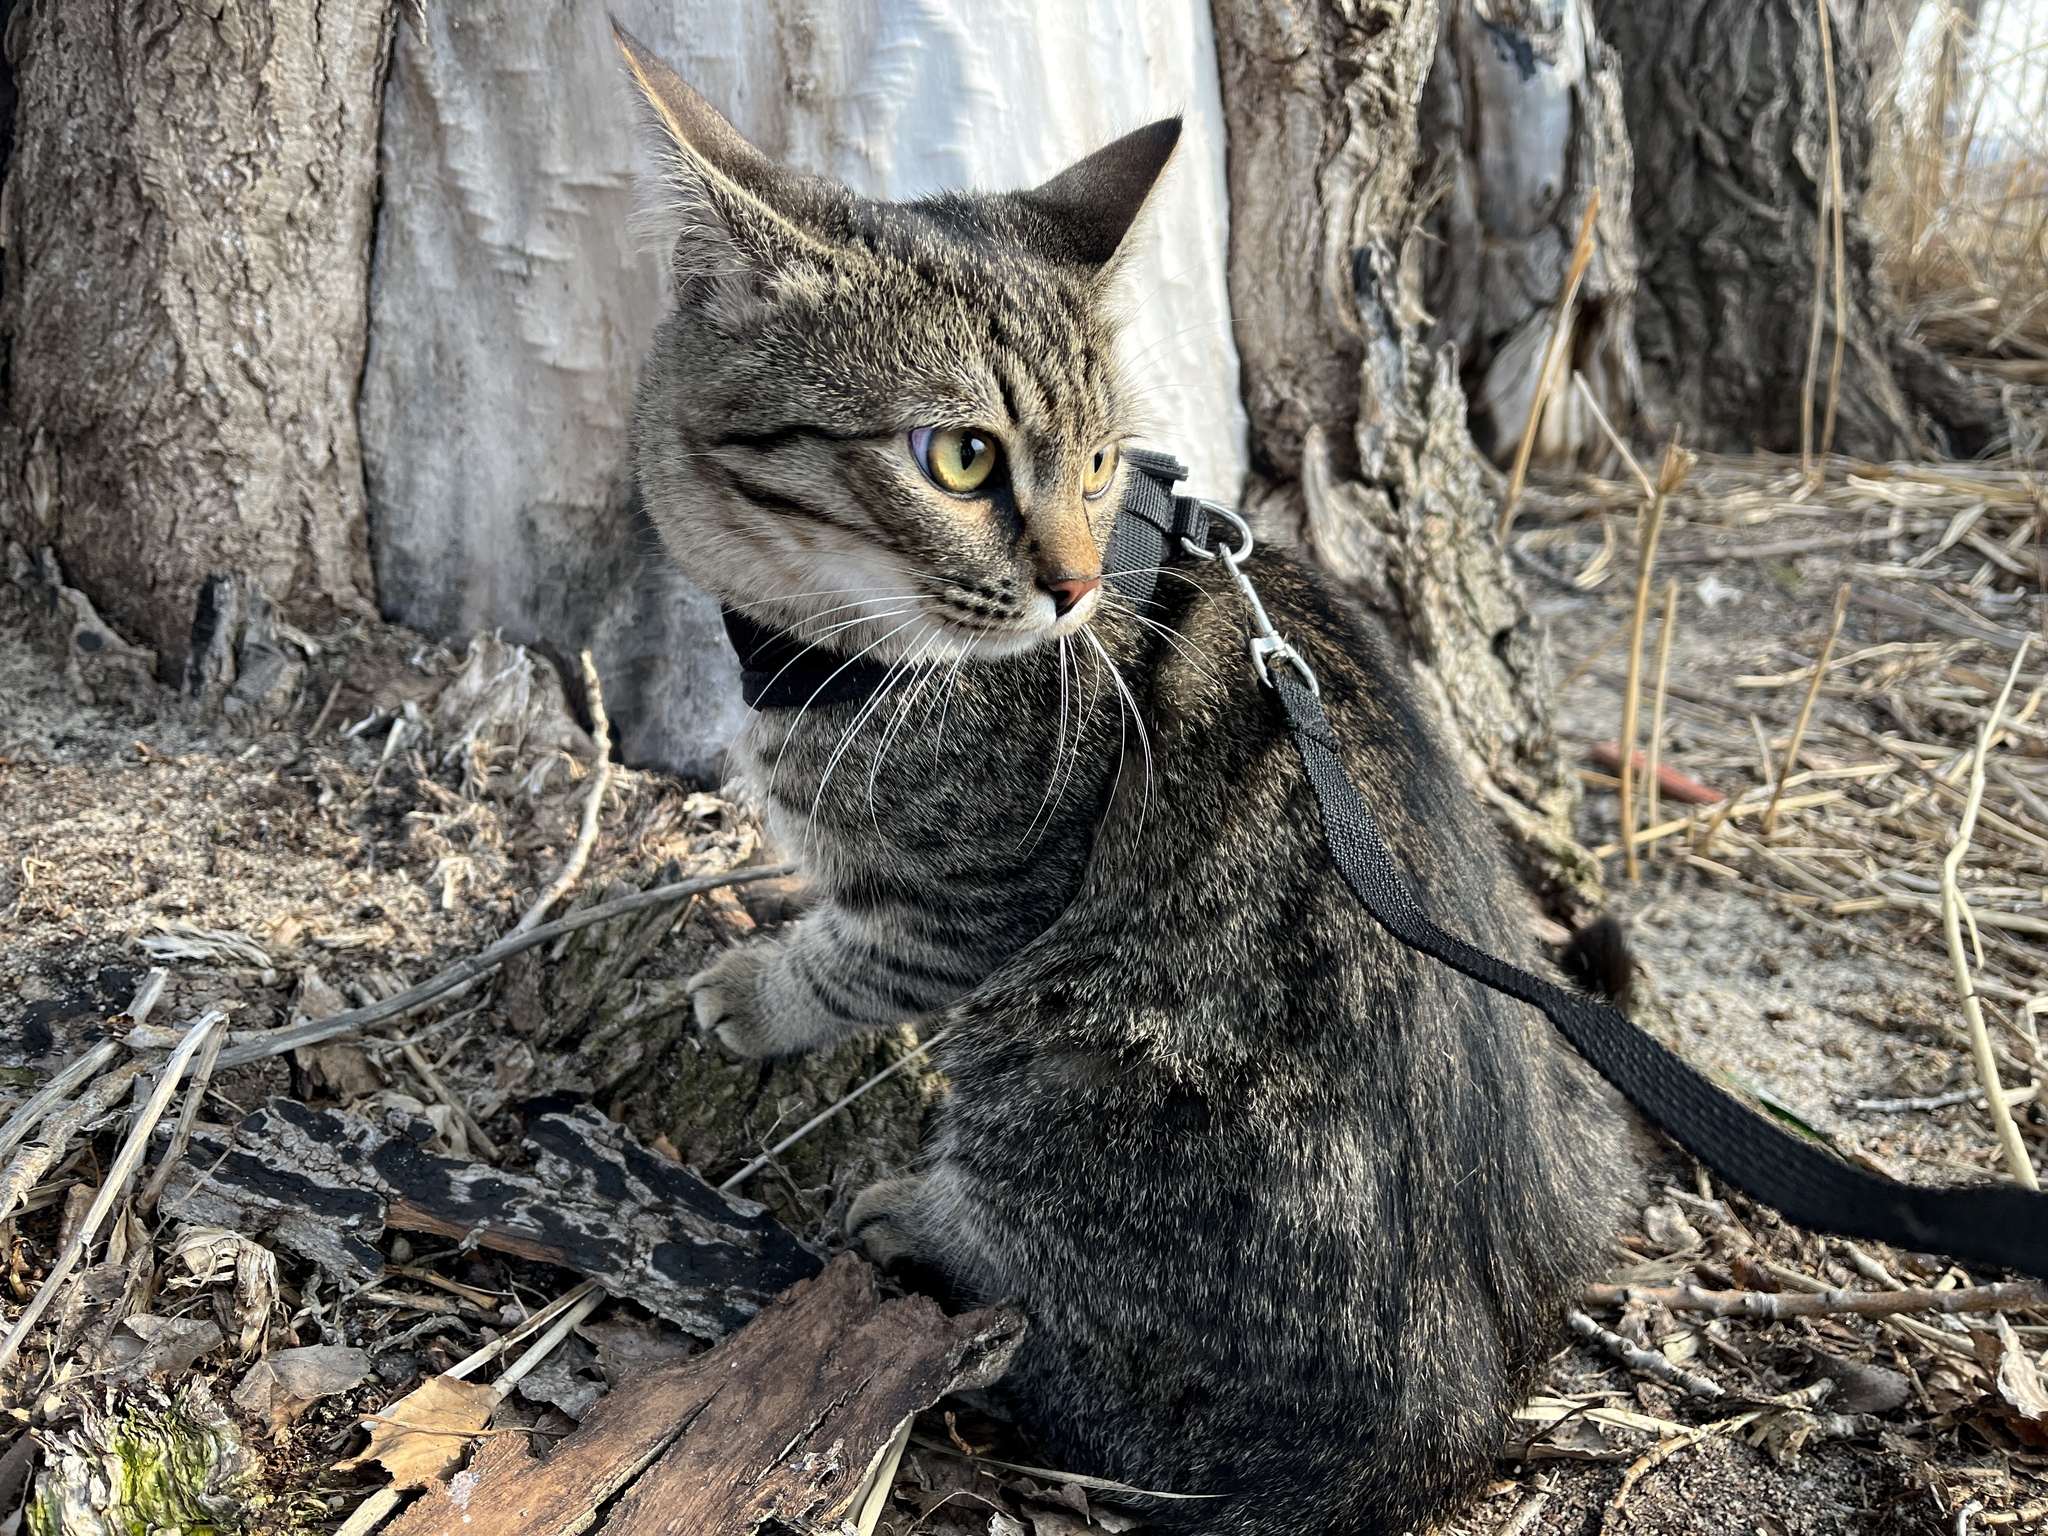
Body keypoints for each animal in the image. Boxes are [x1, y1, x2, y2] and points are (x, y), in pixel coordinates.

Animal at [610, 30, 1630, 1531]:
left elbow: (858, 960)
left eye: (1096, 462)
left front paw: (756, 986)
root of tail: (1461, 1421)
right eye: (961, 455)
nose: (1078, 585)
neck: (819, 650)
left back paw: (927, 1229)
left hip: (1071, 1066)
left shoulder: (971, 898)